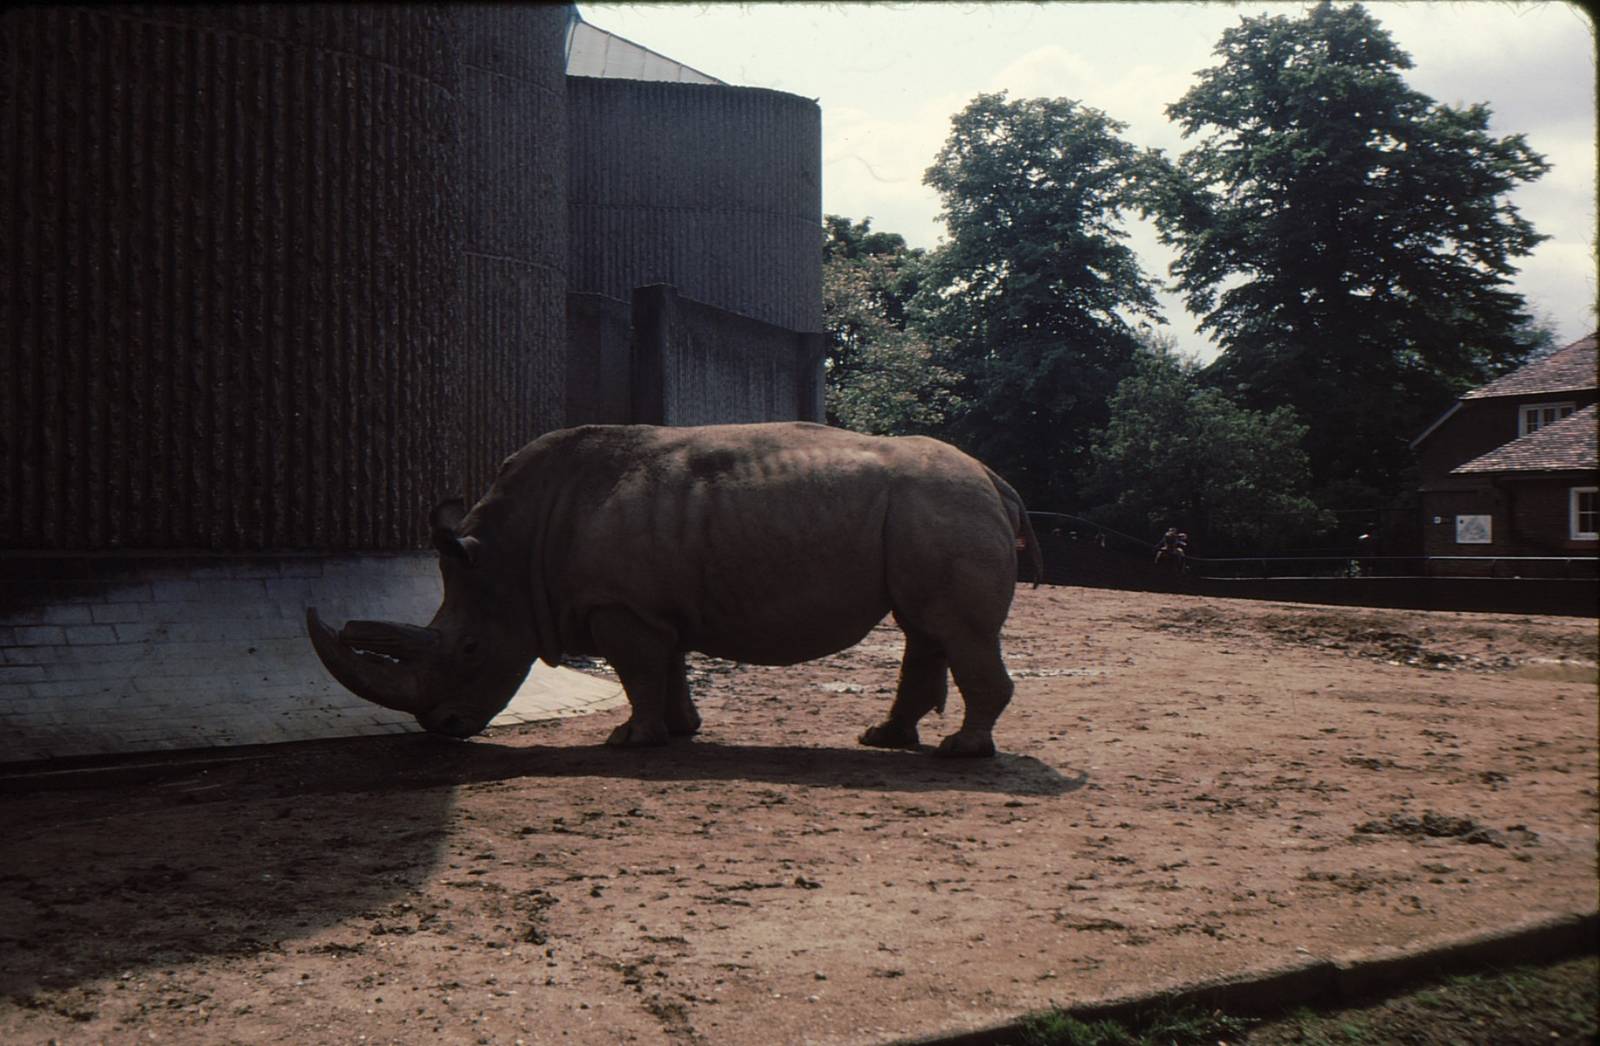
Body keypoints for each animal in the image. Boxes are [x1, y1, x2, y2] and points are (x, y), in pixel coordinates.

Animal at [308, 422, 1042, 757]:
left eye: (468, 650)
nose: (443, 729)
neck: (513, 557)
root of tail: (996, 480)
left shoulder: (620, 606)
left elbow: (638, 671)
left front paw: (628, 740)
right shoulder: (654, 607)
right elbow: (668, 666)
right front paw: (681, 731)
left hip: (944, 506)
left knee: (955, 629)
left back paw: (961, 753)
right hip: (935, 510)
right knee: (925, 628)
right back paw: (882, 740)